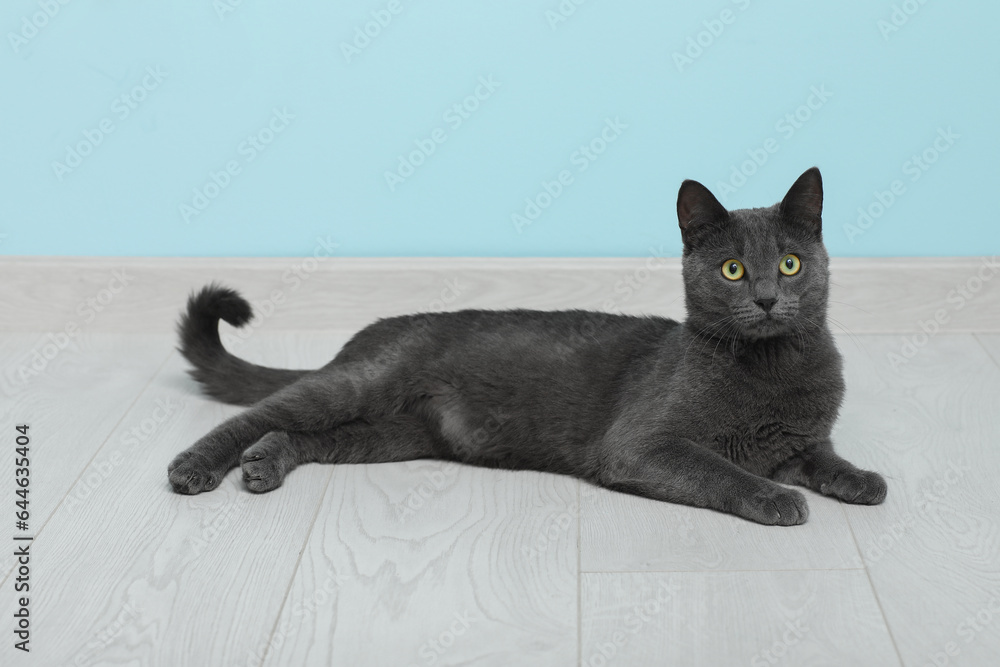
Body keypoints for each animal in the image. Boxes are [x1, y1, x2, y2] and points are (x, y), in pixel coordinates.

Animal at [168, 168, 888, 528]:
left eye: (790, 264)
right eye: (733, 270)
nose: (766, 297)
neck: (772, 369)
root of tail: (361, 336)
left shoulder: (801, 440)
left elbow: (822, 457)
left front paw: (863, 480)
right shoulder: (643, 445)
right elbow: (722, 470)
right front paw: (776, 499)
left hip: (394, 433)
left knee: (305, 435)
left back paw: (265, 463)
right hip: (361, 383)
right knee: (262, 413)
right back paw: (196, 466)